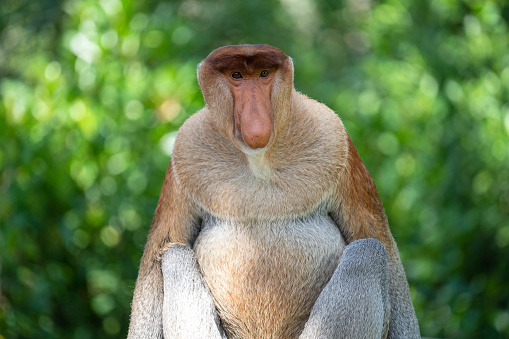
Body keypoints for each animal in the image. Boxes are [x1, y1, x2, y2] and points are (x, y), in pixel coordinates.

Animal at [126, 45, 416, 339]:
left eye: (264, 74)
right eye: (237, 75)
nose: (256, 119)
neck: (259, 160)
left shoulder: (335, 137)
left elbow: (377, 239)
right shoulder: (184, 150)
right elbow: (158, 253)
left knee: (368, 251)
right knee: (174, 255)